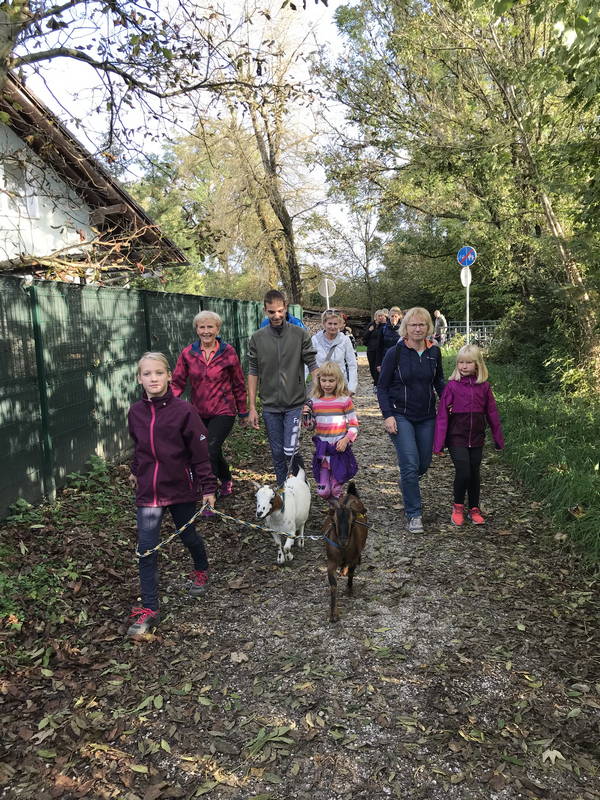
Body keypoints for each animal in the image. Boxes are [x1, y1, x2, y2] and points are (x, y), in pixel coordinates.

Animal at [323, 482, 368, 623]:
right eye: (334, 521)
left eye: (352, 521)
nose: (343, 541)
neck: (343, 549)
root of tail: (350, 493)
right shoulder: (331, 562)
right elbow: (333, 585)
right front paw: (333, 614)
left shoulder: (353, 558)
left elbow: (352, 573)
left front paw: (349, 590)